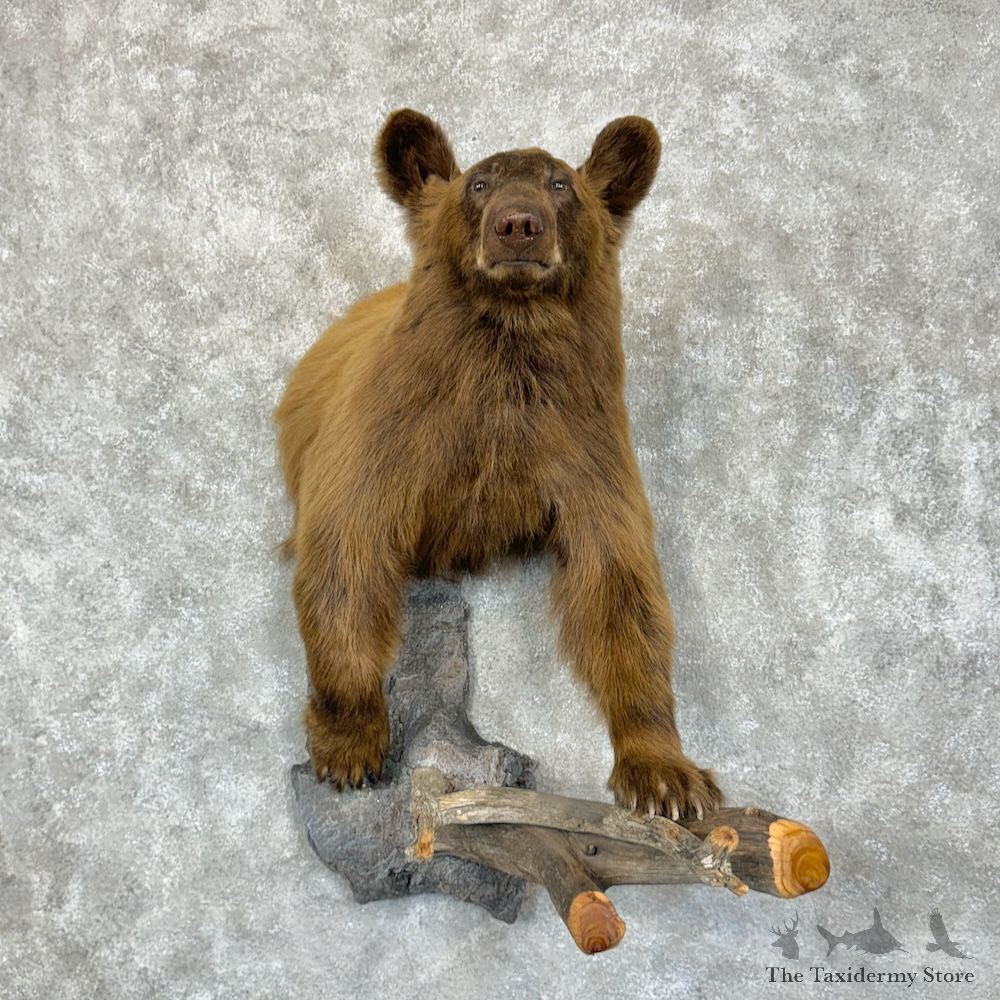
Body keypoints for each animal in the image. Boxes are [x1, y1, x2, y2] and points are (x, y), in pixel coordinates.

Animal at [275, 109, 723, 820]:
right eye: (479, 182)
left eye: (560, 182)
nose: (518, 223)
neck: (507, 350)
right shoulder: (392, 432)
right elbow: (345, 552)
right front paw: (350, 746)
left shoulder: (583, 444)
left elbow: (622, 589)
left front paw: (666, 776)